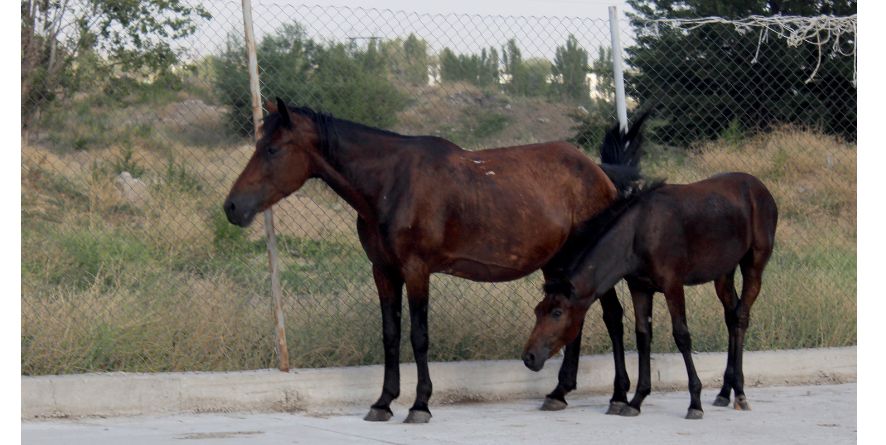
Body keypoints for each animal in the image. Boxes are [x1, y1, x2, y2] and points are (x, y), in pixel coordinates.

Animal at [225, 96, 648, 420]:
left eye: (272, 149)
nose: (232, 207)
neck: (390, 183)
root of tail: (600, 173)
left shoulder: (416, 271)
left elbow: (418, 336)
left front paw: (419, 405)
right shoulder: (383, 271)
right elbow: (390, 335)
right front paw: (383, 402)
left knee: (612, 318)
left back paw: (618, 396)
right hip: (558, 261)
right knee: (576, 315)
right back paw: (559, 392)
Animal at [524, 173, 780, 420]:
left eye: (557, 312)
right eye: (537, 311)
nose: (529, 357)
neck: (638, 233)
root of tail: (763, 191)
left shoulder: (673, 285)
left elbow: (682, 336)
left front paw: (694, 403)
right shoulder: (640, 288)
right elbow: (643, 336)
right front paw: (636, 400)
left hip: (754, 266)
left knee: (741, 317)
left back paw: (740, 393)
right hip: (723, 274)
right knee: (731, 316)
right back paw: (725, 392)